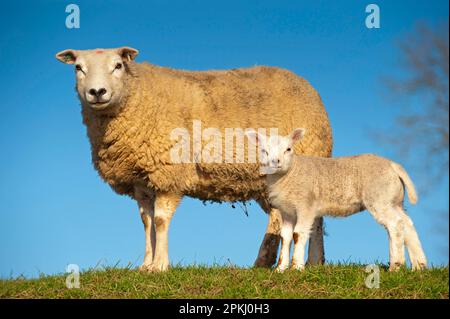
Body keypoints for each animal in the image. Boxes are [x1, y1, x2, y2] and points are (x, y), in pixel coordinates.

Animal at [54, 47, 332, 272]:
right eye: (78, 67)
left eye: (118, 65)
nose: (97, 92)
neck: (139, 97)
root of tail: (308, 88)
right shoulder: (141, 180)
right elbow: (146, 221)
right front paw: (145, 265)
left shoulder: (168, 173)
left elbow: (160, 220)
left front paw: (160, 266)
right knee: (296, 217)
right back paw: (289, 262)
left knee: (300, 218)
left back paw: (292, 261)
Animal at [248, 129, 428, 274]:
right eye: (264, 151)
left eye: (288, 149)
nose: (275, 162)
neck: (290, 172)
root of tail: (392, 165)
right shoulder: (287, 211)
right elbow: (285, 237)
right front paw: (280, 269)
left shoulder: (306, 206)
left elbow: (298, 234)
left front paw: (296, 267)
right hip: (394, 200)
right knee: (406, 223)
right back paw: (419, 266)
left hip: (379, 198)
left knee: (395, 225)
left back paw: (395, 266)